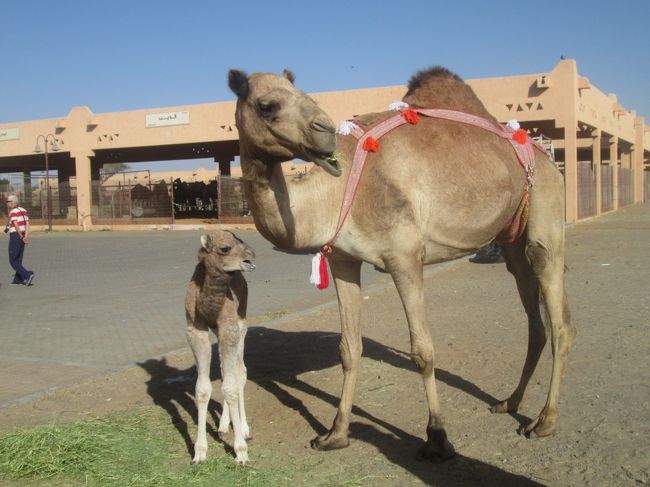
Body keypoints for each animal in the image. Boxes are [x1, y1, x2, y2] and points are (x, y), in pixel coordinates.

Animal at [184, 231, 254, 468]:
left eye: (240, 240)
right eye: (225, 248)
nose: (250, 258)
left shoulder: (229, 328)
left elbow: (231, 387)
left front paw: (241, 452)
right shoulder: (195, 330)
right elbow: (202, 389)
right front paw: (199, 453)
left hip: (241, 323)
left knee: (240, 372)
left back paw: (244, 429)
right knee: (226, 372)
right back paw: (224, 426)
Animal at [227, 67, 572, 462]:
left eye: (304, 94)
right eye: (267, 105)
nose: (325, 132)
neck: (332, 196)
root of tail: (549, 158)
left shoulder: (405, 257)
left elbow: (422, 352)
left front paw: (437, 438)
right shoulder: (343, 260)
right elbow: (349, 348)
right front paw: (335, 434)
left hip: (545, 211)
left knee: (559, 316)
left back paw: (544, 421)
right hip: (512, 239)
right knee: (534, 318)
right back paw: (509, 402)